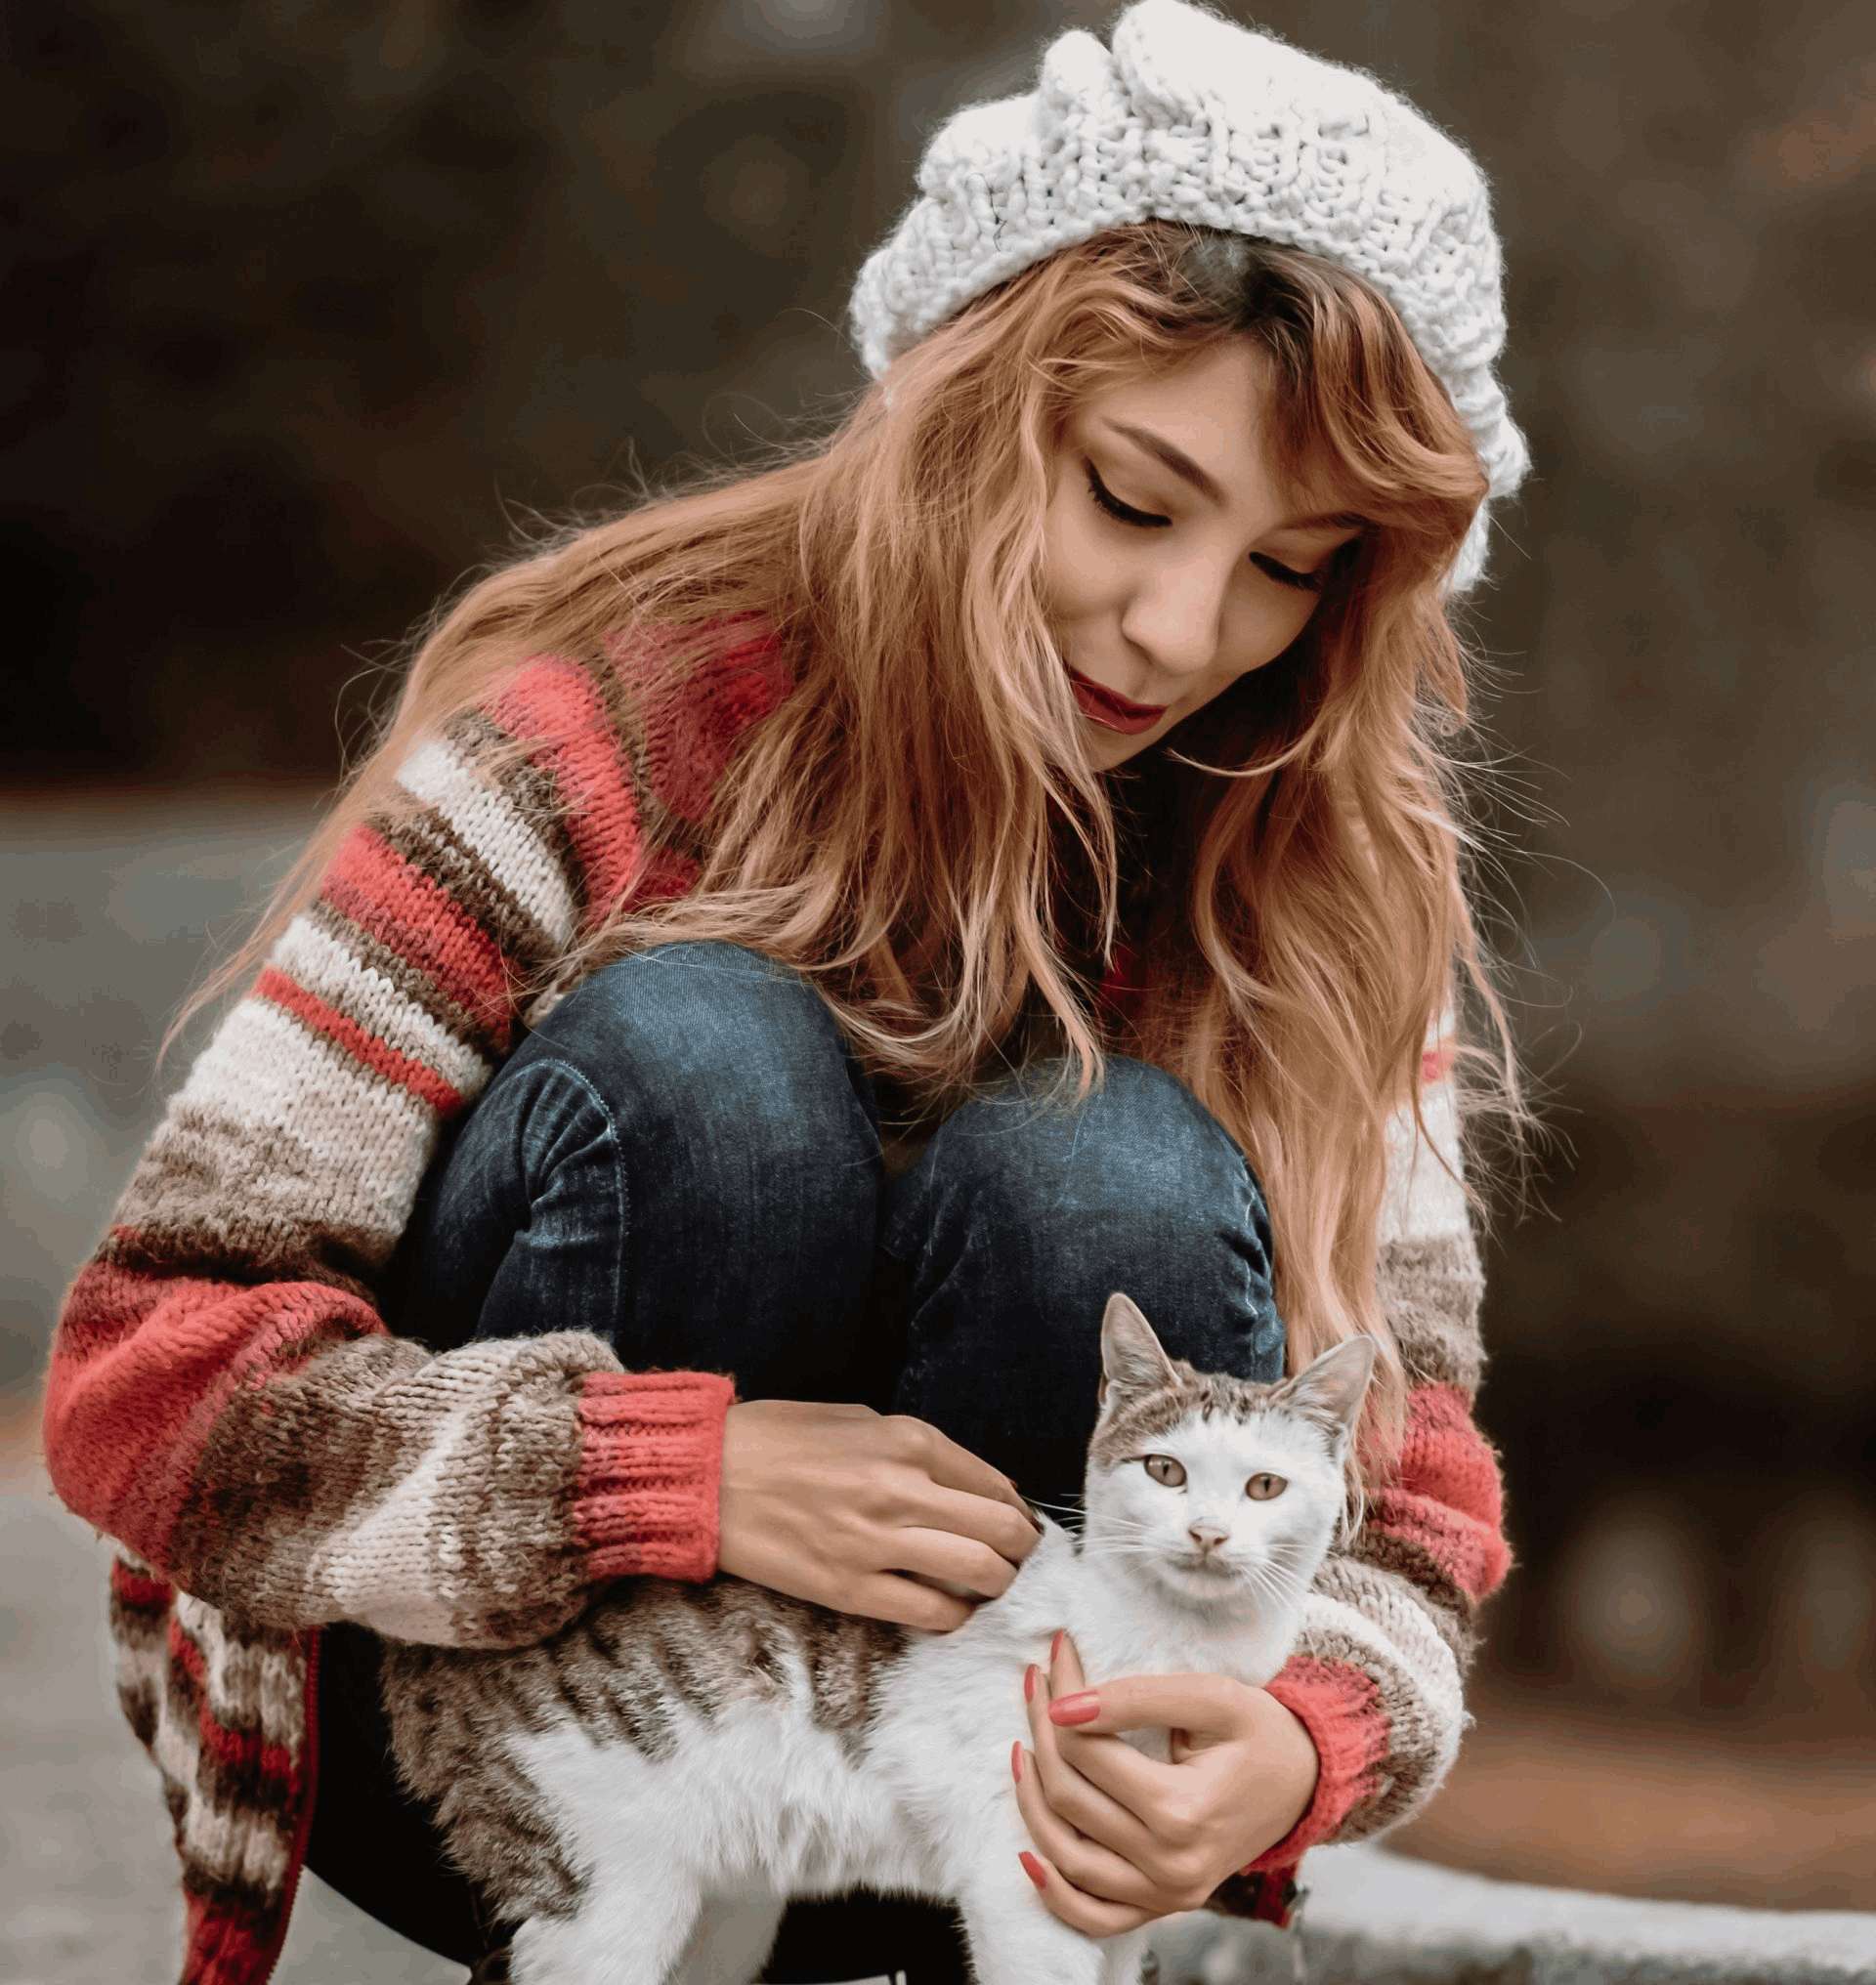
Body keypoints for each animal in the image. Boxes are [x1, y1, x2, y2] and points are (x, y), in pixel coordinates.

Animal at [385, 1293, 1373, 1976]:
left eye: (1264, 1487)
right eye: (1165, 1471)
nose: (1206, 1533)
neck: (1166, 1639)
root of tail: (425, 1667)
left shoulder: (1120, 1905)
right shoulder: (1019, 1875)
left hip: (724, 1910)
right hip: (602, 1886)